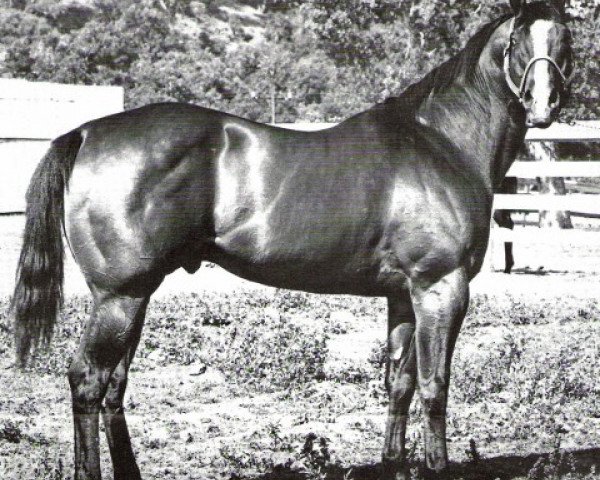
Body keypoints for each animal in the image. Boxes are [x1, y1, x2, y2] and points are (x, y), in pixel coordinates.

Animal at [10, 1, 572, 478]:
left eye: (565, 36)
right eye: (520, 37)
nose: (544, 104)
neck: (440, 142)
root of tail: (86, 134)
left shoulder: (403, 296)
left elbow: (400, 384)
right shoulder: (441, 288)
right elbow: (436, 387)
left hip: (134, 297)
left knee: (113, 386)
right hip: (119, 297)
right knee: (87, 380)